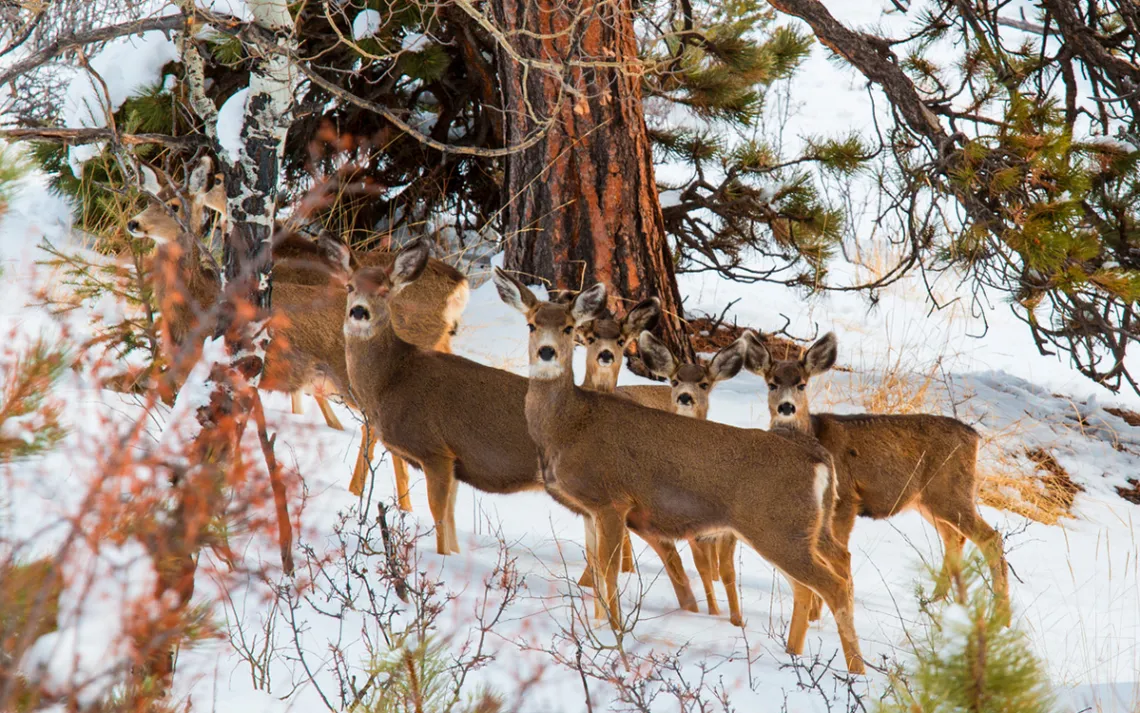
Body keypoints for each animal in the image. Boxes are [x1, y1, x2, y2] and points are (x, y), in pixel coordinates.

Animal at [125, 157, 469, 511]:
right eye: (147, 200)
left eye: (174, 205)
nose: (134, 224)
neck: (197, 302)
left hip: (353, 375)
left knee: (374, 425)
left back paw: (371, 496)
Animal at [341, 241, 706, 617]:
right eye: (349, 286)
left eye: (385, 291)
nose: (358, 312)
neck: (392, 379)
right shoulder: (455, 462)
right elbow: (451, 523)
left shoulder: (435, 450)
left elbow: (440, 520)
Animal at [493, 268, 865, 673]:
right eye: (531, 324)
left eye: (567, 327)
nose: (546, 352)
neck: (569, 425)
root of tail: (817, 458)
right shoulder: (590, 509)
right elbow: (594, 567)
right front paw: (596, 627)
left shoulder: (612, 500)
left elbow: (608, 572)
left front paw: (613, 635)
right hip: (795, 531)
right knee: (814, 583)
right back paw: (796, 656)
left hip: (779, 528)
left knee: (833, 585)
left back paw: (855, 671)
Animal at [742, 330, 1010, 625]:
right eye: (772, 383)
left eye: (802, 384)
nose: (786, 407)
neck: (813, 432)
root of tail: (975, 437)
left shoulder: (846, 499)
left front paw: (816, 616)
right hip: (929, 501)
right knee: (955, 538)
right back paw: (938, 602)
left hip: (951, 492)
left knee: (990, 538)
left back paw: (1001, 616)